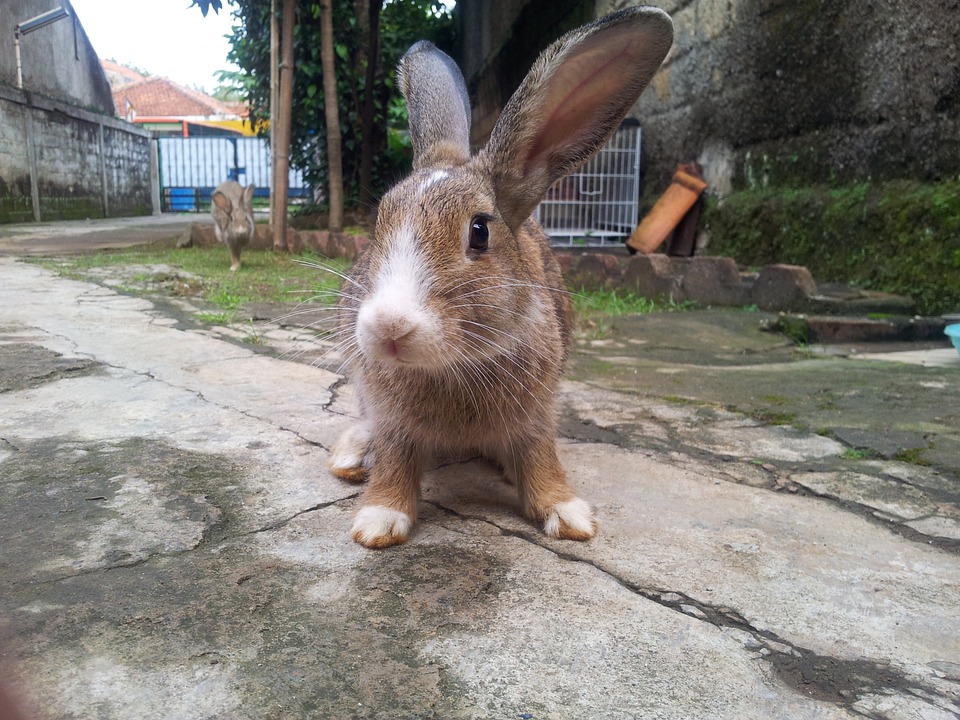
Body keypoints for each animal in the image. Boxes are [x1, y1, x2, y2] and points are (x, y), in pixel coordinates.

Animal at [330, 5, 676, 548]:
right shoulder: (394, 421)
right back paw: (352, 457)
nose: (388, 327)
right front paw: (379, 522)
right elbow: (395, 460)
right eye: (380, 221)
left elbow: (539, 458)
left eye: (479, 231)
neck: (454, 366)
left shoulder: (536, 417)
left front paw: (569, 516)